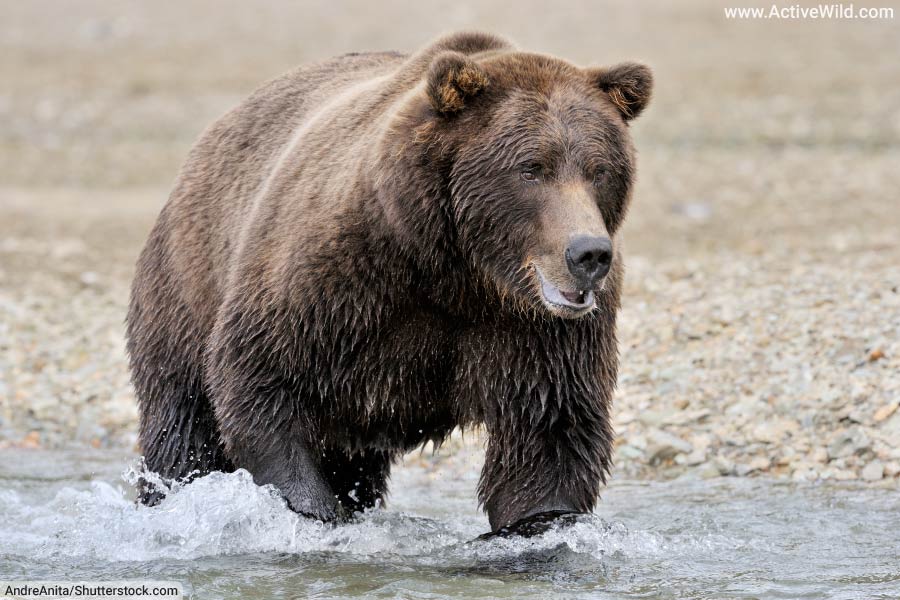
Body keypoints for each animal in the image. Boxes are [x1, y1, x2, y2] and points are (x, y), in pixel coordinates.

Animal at [126, 31, 652, 534]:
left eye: (599, 169)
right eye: (531, 168)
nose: (588, 254)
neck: (458, 271)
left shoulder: (537, 334)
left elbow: (549, 432)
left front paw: (537, 523)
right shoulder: (334, 282)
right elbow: (261, 382)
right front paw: (313, 511)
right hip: (187, 281)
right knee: (183, 427)